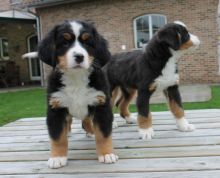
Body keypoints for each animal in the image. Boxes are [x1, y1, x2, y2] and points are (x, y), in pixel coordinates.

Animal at [23, 20, 117, 168]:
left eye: (87, 43)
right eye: (65, 43)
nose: (79, 56)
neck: (76, 78)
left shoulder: (101, 105)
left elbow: (103, 135)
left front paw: (106, 154)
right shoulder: (56, 107)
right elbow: (57, 137)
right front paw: (57, 157)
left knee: (86, 121)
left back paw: (91, 132)